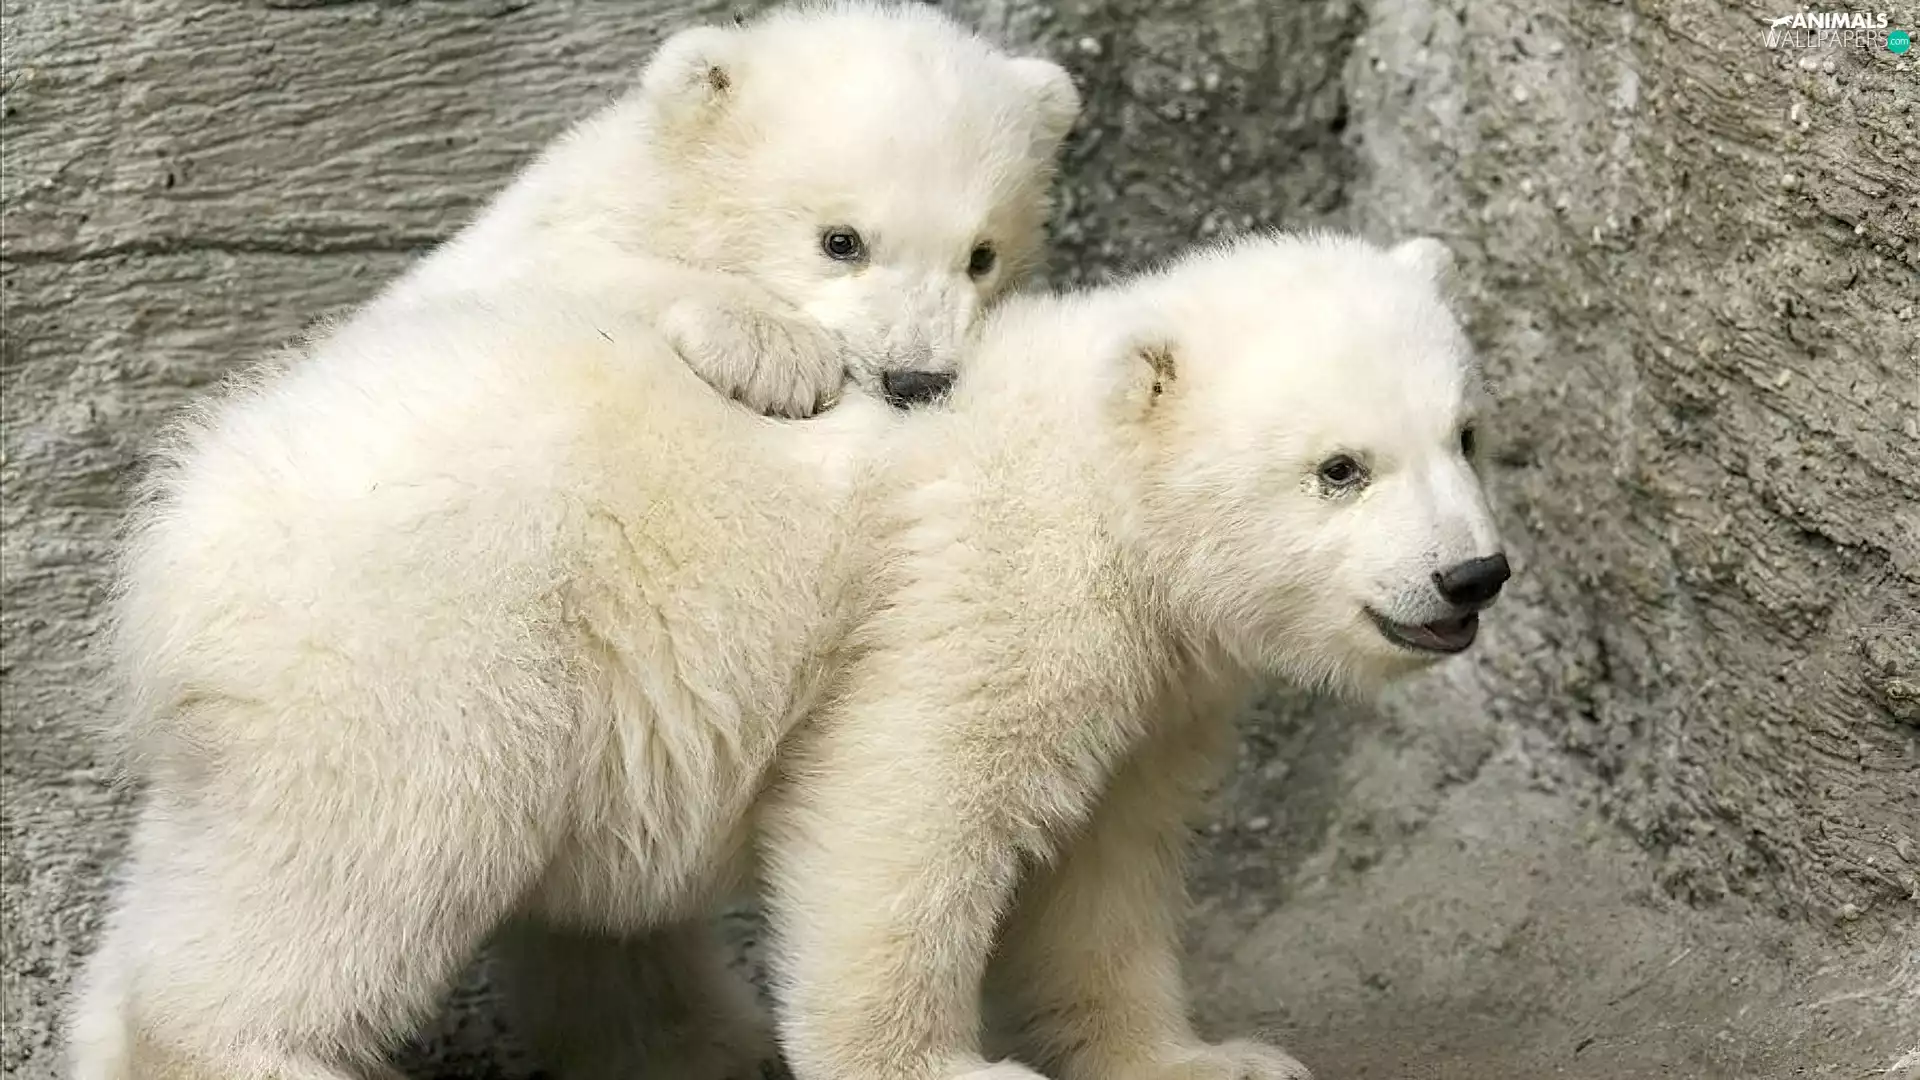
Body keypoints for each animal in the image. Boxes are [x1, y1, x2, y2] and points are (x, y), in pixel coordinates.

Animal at [752, 231, 1509, 1080]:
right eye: (1340, 469)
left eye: (1466, 435)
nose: (1471, 575)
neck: (1097, 479)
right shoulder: (988, 592)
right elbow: (906, 798)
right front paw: (936, 1065)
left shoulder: (1144, 700)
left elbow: (1103, 864)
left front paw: (1207, 1060)